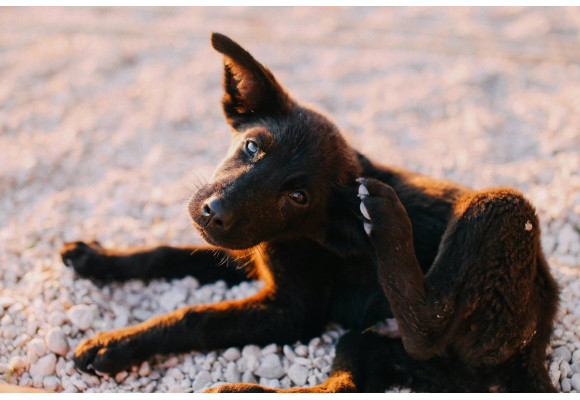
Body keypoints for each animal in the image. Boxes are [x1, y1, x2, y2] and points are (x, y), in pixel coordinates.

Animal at [61, 32, 560, 392]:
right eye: (252, 147)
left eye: (299, 196)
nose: (212, 212)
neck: (301, 233)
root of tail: (535, 343)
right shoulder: (248, 254)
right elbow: (166, 253)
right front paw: (96, 258)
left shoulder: (293, 310)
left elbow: (197, 317)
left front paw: (116, 343)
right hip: (380, 347)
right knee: (349, 381)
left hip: (501, 210)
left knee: (425, 326)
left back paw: (385, 221)